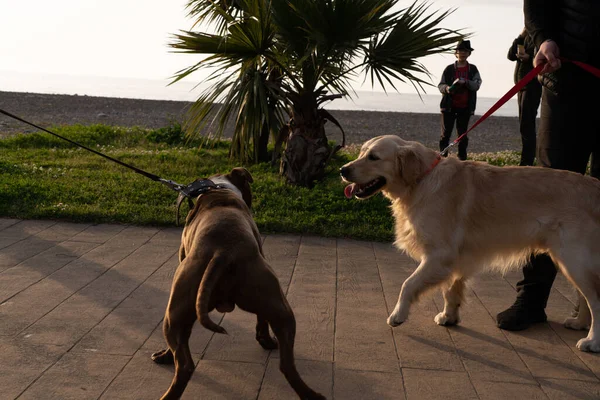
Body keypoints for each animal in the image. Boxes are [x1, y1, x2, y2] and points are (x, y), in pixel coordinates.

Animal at [152, 169, 326, 400]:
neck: (218, 188)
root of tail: (223, 251)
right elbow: (262, 319)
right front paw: (265, 339)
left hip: (176, 312)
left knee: (184, 364)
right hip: (278, 306)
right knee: (287, 364)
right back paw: (311, 394)